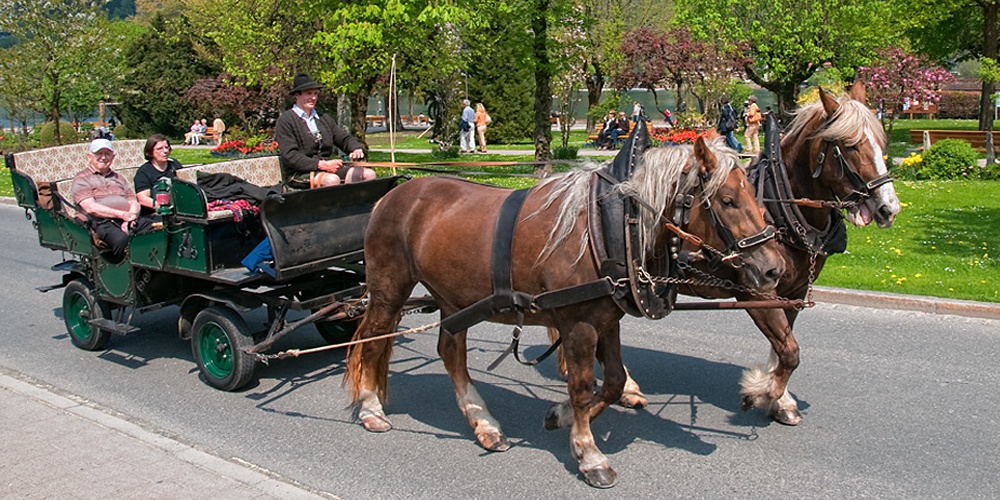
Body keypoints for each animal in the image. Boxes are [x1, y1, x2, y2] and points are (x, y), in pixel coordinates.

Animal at [348, 138, 784, 488]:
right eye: (727, 201)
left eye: (753, 194)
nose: (773, 268)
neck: (608, 227)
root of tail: (393, 194)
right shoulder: (578, 325)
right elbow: (581, 386)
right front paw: (588, 452)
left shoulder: (607, 321)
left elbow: (612, 382)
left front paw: (562, 417)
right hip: (389, 289)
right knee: (372, 340)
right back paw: (370, 406)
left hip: (454, 297)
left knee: (450, 351)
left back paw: (482, 422)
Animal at [588, 82, 904, 426]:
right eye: (849, 146)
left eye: (881, 142)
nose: (888, 208)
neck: (781, 210)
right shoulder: (756, 291)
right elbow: (790, 351)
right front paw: (763, 392)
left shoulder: (792, 292)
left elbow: (783, 347)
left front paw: (779, 399)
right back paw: (624, 386)